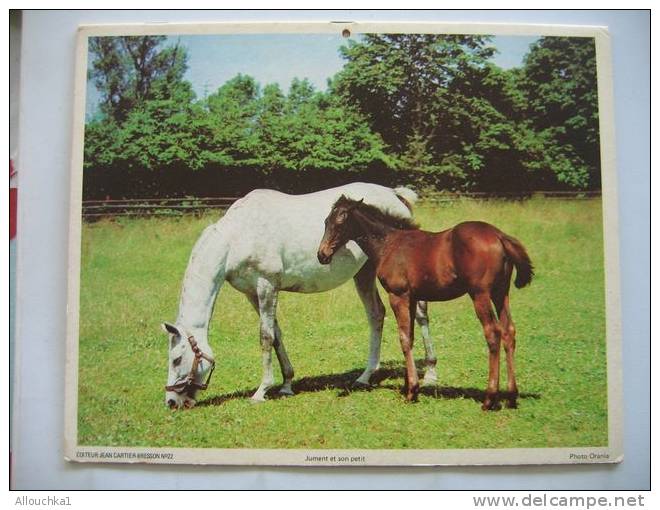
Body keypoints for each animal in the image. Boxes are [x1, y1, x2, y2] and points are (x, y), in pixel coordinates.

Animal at [162, 183, 436, 410]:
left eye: (176, 359)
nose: (171, 402)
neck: (238, 236)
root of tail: (395, 195)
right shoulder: (253, 293)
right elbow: (276, 335)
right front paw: (286, 385)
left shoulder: (267, 286)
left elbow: (265, 337)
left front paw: (261, 391)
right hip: (364, 274)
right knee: (376, 314)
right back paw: (365, 376)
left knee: (420, 314)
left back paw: (431, 373)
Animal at [318, 195, 532, 410]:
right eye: (326, 221)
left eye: (340, 221)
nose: (322, 254)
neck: (389, 244)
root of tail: (499, 236)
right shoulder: (412, 297)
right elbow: (411, 337)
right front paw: (409, 386)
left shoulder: (398, 296)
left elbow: (404, 338)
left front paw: (412, 390)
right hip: (501, 293)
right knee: (509, 331)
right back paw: (512, 395)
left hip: (480, 294)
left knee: (493, 333)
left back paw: (489, 398)